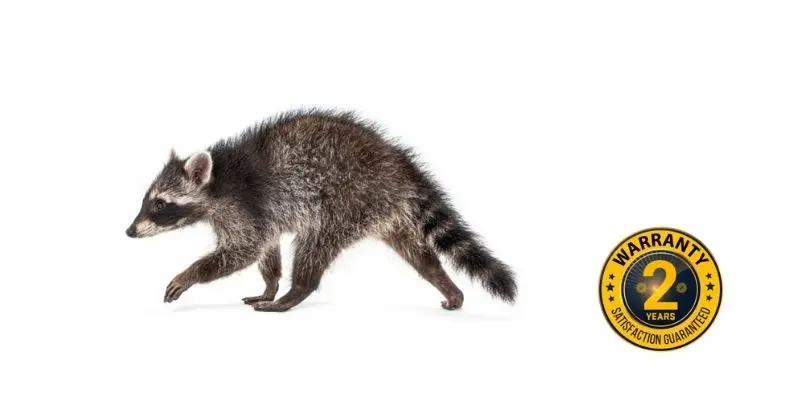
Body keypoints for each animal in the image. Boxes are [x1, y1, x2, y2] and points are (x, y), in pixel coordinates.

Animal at [126, 109, 517, 312]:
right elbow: (265, 250)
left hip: (345, 201)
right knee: (417, 252)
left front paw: (190, 274)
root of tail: (399, 163)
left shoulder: (243, 208)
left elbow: (242, 250)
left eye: (160, 204)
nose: (129, 231)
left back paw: (296, 292)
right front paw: (270, 284)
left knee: (315, 244)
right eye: (147, 200)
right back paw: (442, 280)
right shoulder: (256, 215)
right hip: (381, 208)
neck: (219, 180)